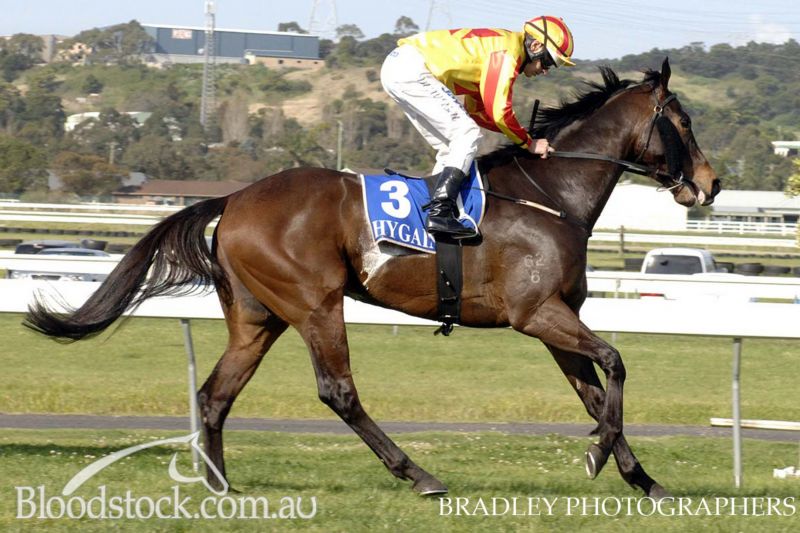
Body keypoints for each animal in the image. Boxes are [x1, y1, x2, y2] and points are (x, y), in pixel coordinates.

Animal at [25, 58, 719, 498]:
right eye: (683, 123)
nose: (711, 185)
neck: (552, 193)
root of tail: (235, 198)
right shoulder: (538, 315)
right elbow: (617, 365)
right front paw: (601, 455)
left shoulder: (555, 321)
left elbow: (597, 394)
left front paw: (640, 477)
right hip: (315, 305)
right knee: (339, 392)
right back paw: (419, 475)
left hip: (258, 317)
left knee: (216, 394)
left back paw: (220, 486)